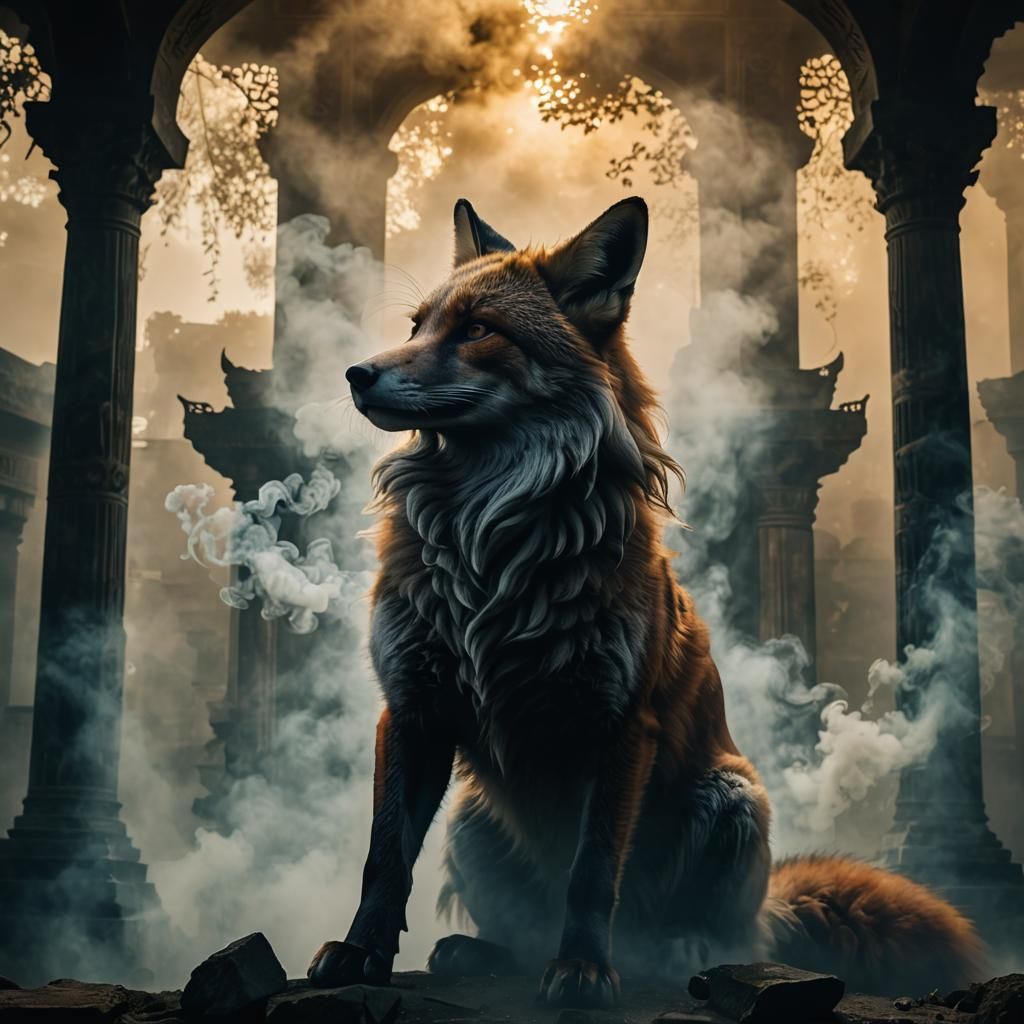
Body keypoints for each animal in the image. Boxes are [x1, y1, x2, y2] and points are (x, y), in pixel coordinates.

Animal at [307, 196, 984, 1005]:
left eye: (476, 329)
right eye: (417, 326)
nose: (356, 374)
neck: (489, 543)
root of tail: (766, 911)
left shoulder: (620, 722)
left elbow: (593, 871)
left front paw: (582, 971)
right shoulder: (412, 706)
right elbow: (385, 860)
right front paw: (358, 955)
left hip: (732, 798)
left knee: (709, 932)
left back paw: (670, 955)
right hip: (472, 818)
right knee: (516, 930)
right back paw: (484, 953)